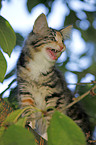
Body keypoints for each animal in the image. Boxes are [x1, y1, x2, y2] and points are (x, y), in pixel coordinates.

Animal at [16, 13, 91, 142]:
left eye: (63, 41)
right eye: (53, 38)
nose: (62, 47)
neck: (39, 65)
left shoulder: (55, 94)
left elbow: (51, 116)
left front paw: (48, 135)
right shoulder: (25, 90)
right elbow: (28, 109)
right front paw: (28, 122)